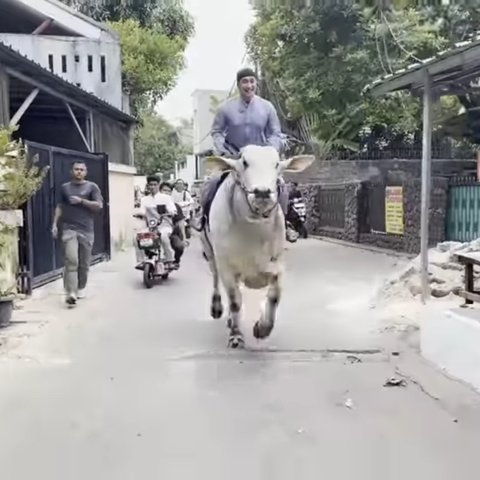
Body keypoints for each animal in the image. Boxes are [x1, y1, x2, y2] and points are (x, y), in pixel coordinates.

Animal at [201, 144, 314, 346]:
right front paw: (236, 335)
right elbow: (235, 301)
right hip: (209, 251)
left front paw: (262, 328)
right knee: (215, 279)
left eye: (276, 164)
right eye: (244, 162)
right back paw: (217, 308)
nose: (262, 192)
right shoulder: (227, 267)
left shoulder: (276, 265)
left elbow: (274, 297)